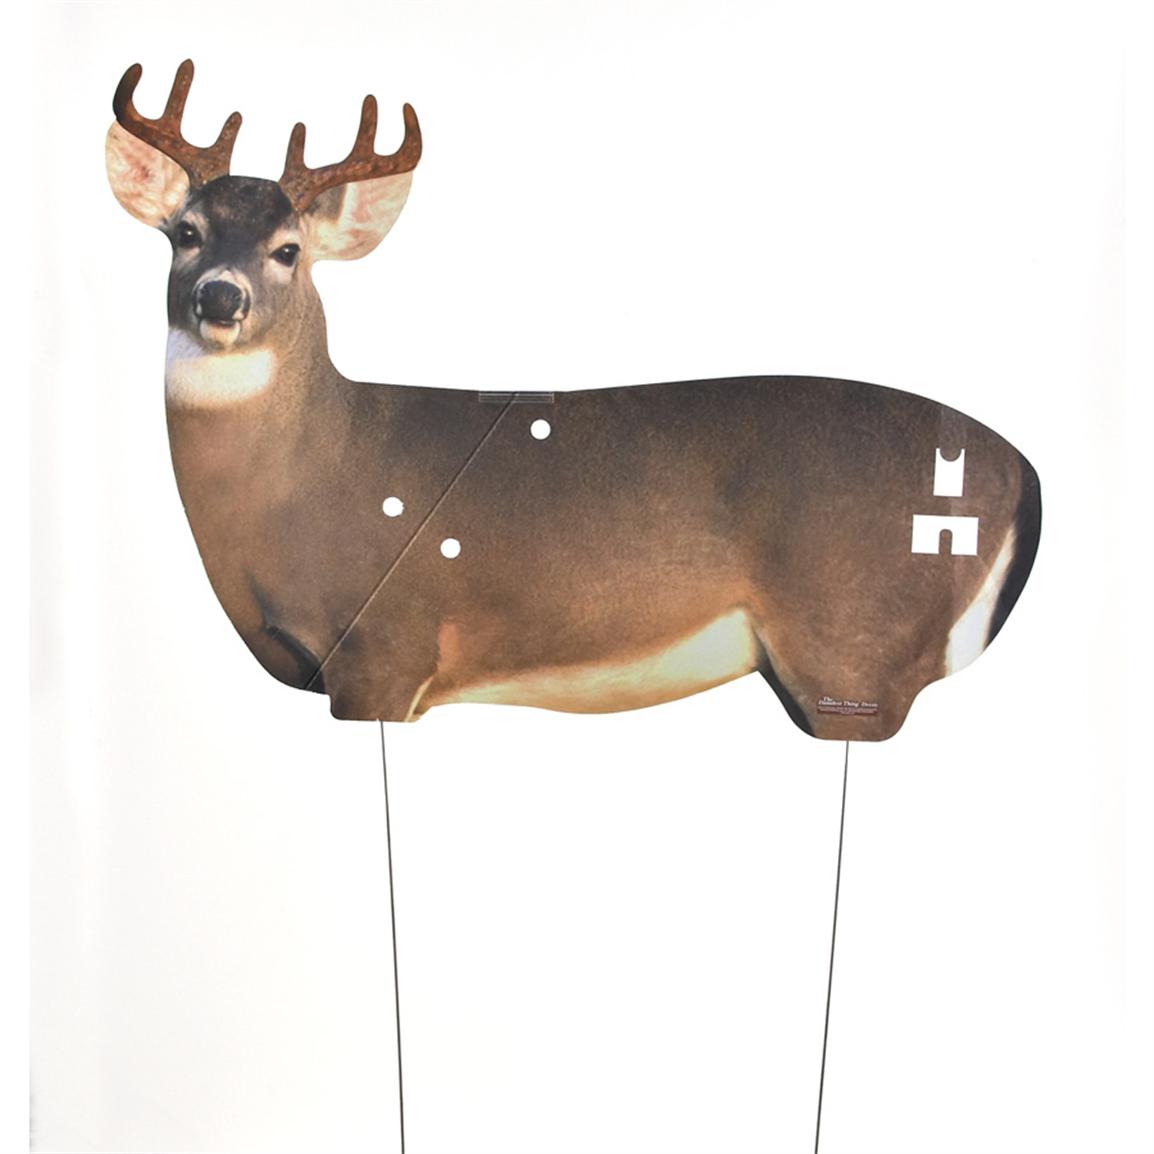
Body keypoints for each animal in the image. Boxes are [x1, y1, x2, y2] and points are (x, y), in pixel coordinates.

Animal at [105, 60, 1041, 742]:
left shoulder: (385, 647)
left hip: (851, 644)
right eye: (186, 234)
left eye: (289, 249)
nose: (220, 297)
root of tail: (1025, 475)